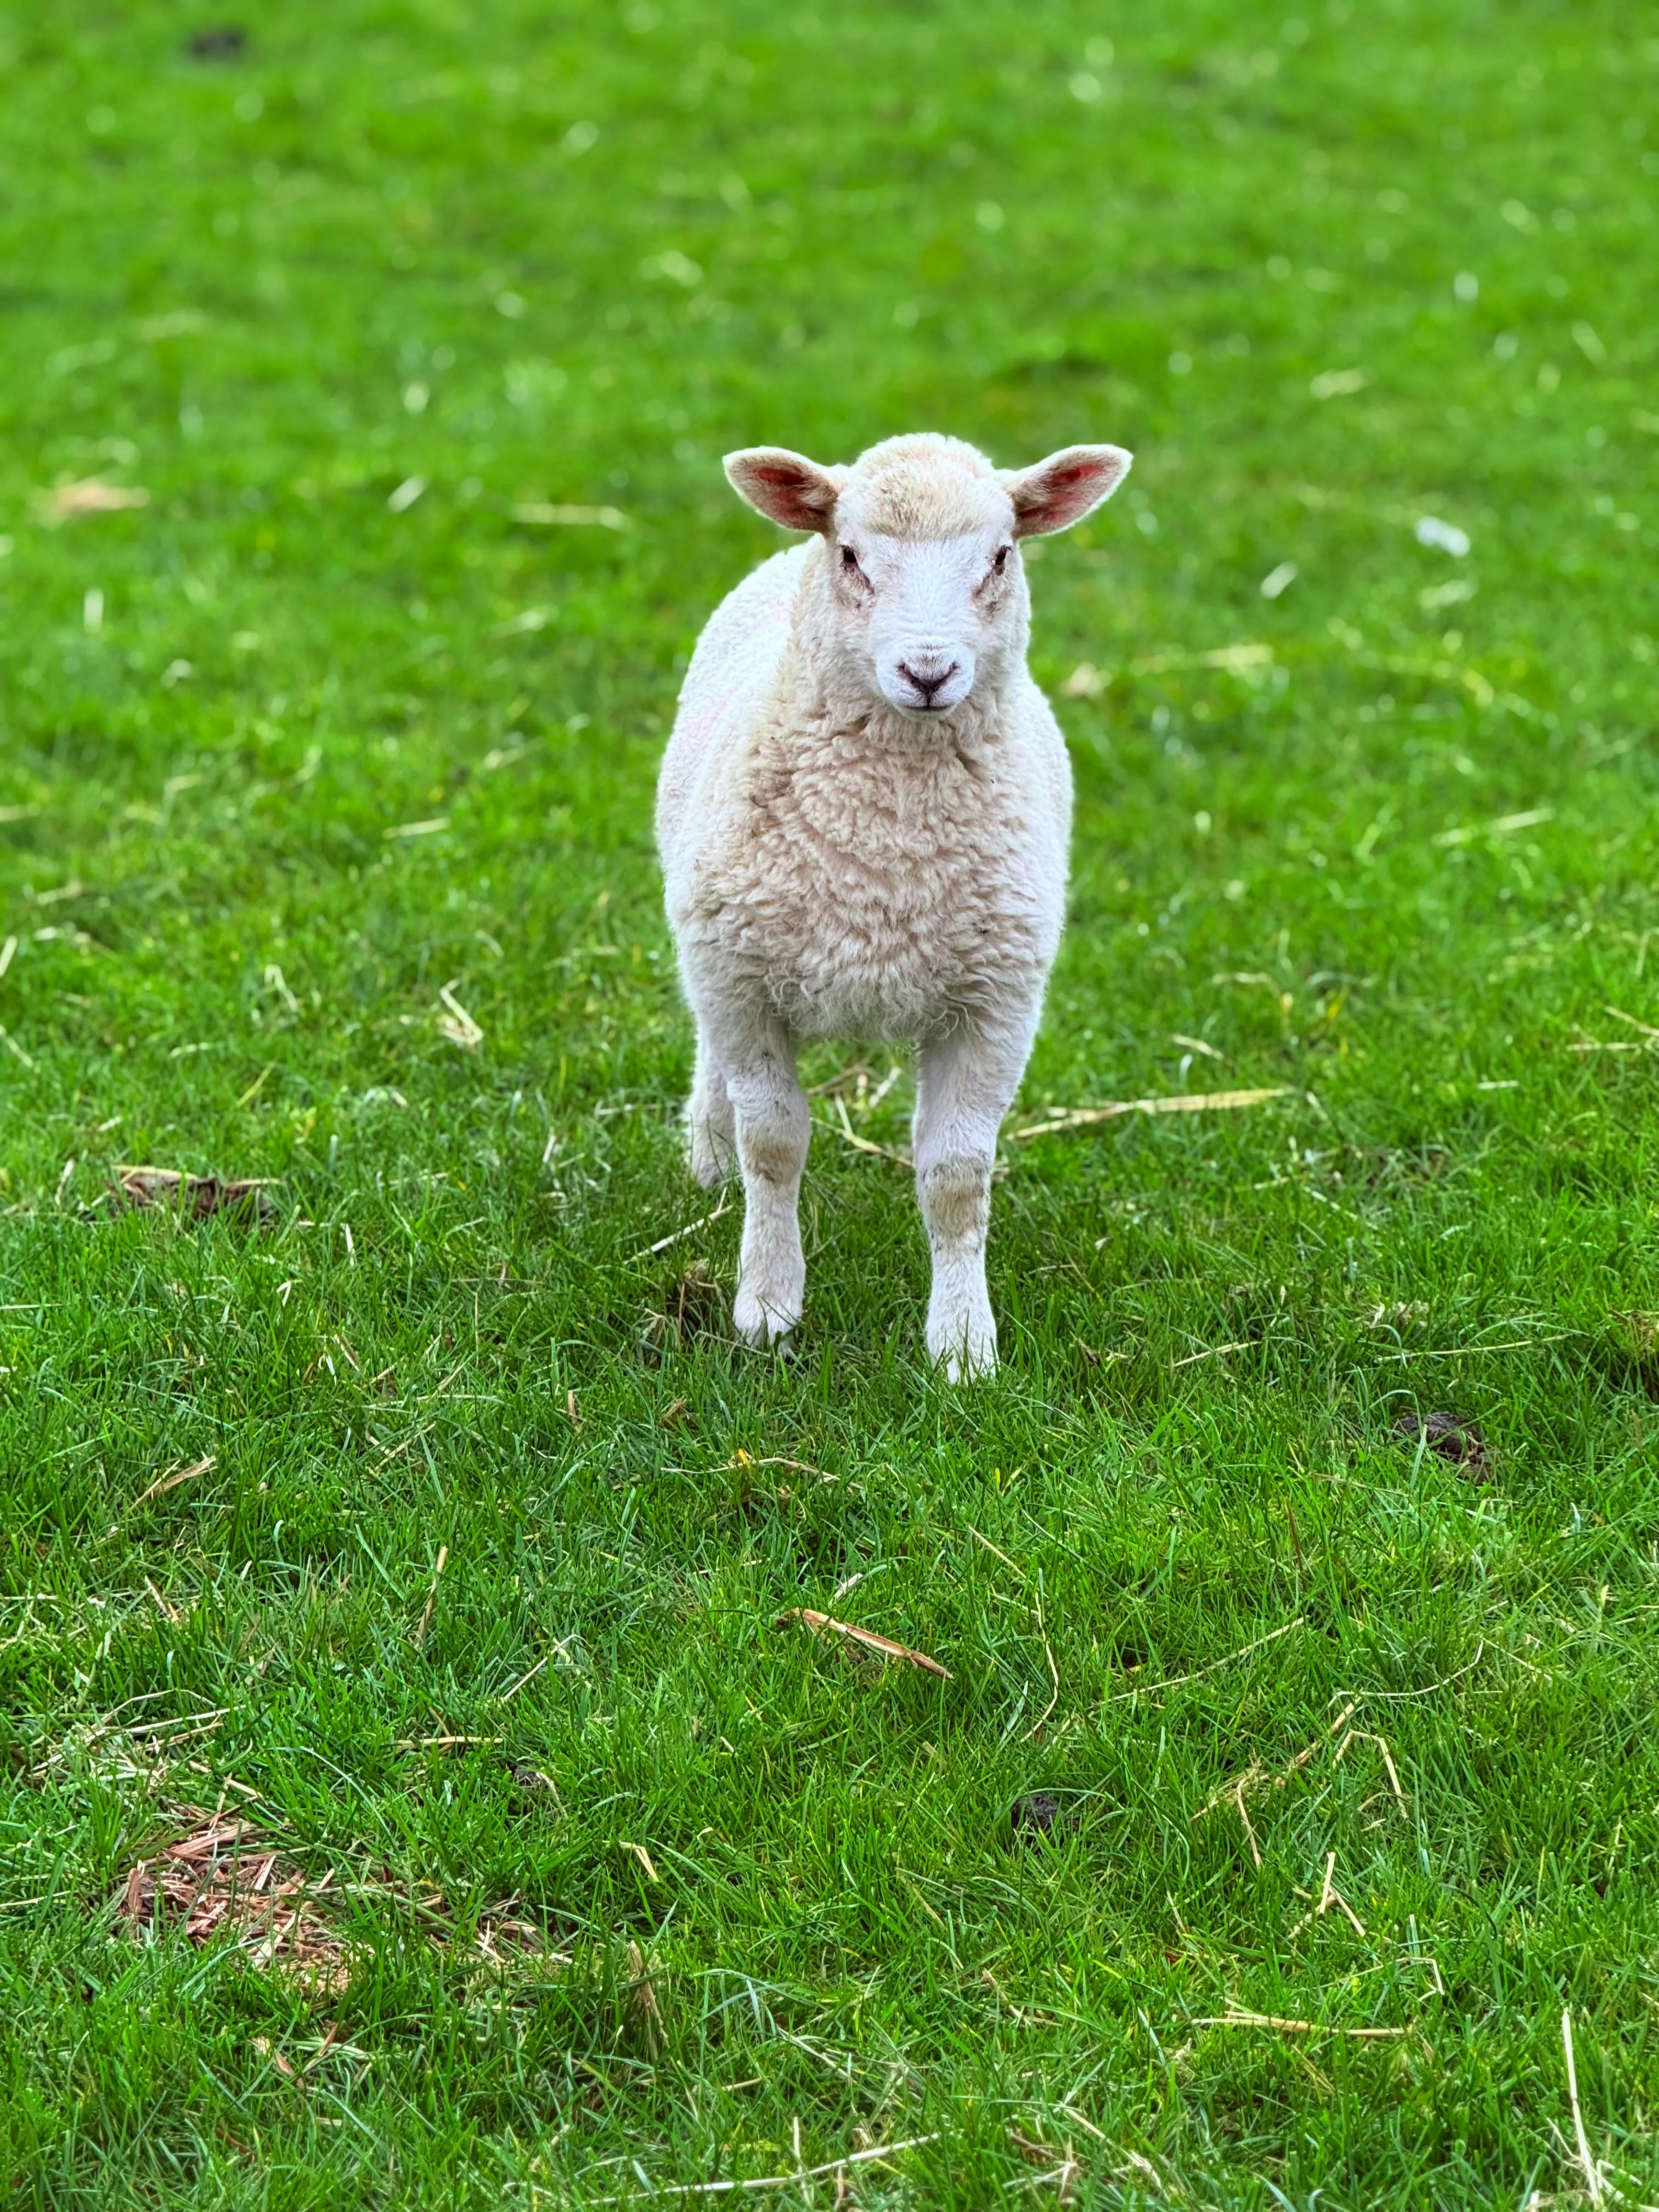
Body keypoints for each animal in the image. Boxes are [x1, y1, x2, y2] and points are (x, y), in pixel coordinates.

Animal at [655, 431, 1131, 1378]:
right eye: (850, 555)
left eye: (1001, 555)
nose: (928, 671)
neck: (885, 865)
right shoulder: (743, 982)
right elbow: (775, 1147)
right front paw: (768, 1305)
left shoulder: (996, 1003)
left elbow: (956, 1178)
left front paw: (963, 1345)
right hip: (712, 942)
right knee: (711, 1057)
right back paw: (708, 1155)